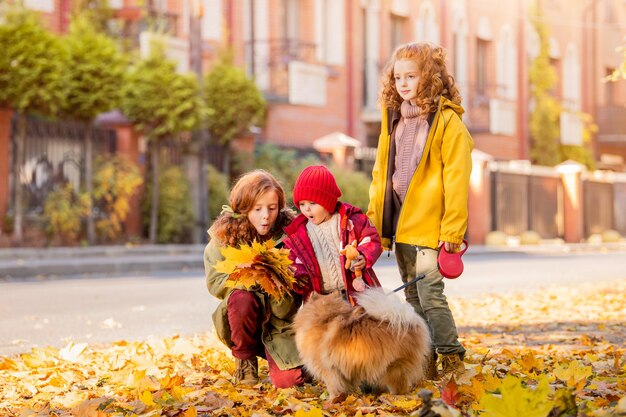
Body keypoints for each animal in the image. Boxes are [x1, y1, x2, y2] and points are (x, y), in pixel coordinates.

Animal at [292, 284, 428, 398]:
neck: (326, 318)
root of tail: (409, 322)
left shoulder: (329, 370)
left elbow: (333, 388)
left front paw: (332, 401)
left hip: (394, 368)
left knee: (400, 388)